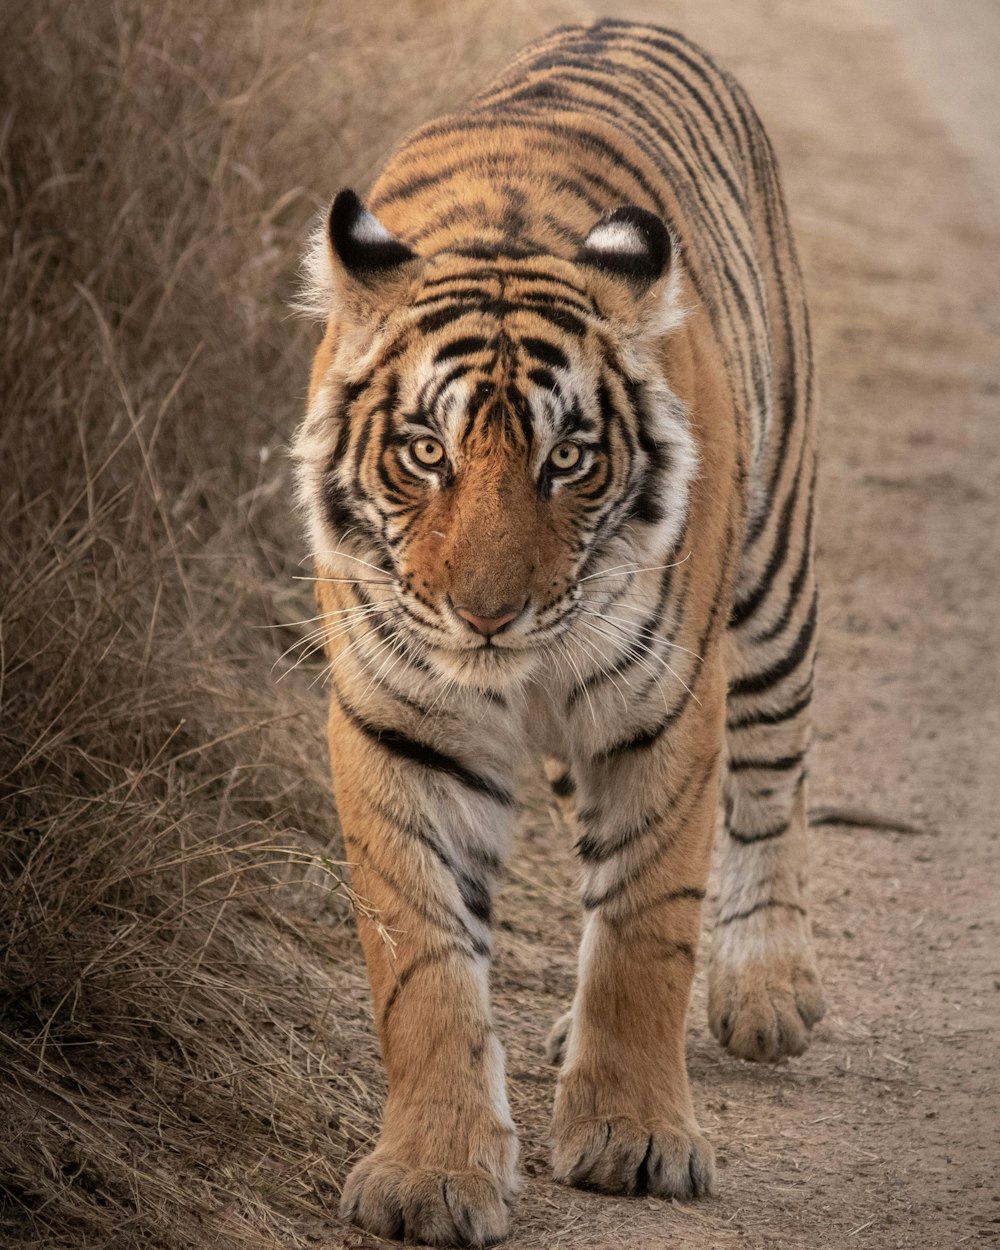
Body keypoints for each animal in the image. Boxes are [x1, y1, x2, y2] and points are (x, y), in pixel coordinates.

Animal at [295, 14, 830, 1245]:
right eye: (426, 452)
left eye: (570, 459)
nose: (487, 615)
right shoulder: (402, 721)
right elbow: (423, 962)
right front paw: (432, 1173)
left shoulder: (665, 708)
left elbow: (644, 927)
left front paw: (634, 1135)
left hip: (772, 583)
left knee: (772, 778)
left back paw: (767, 985)